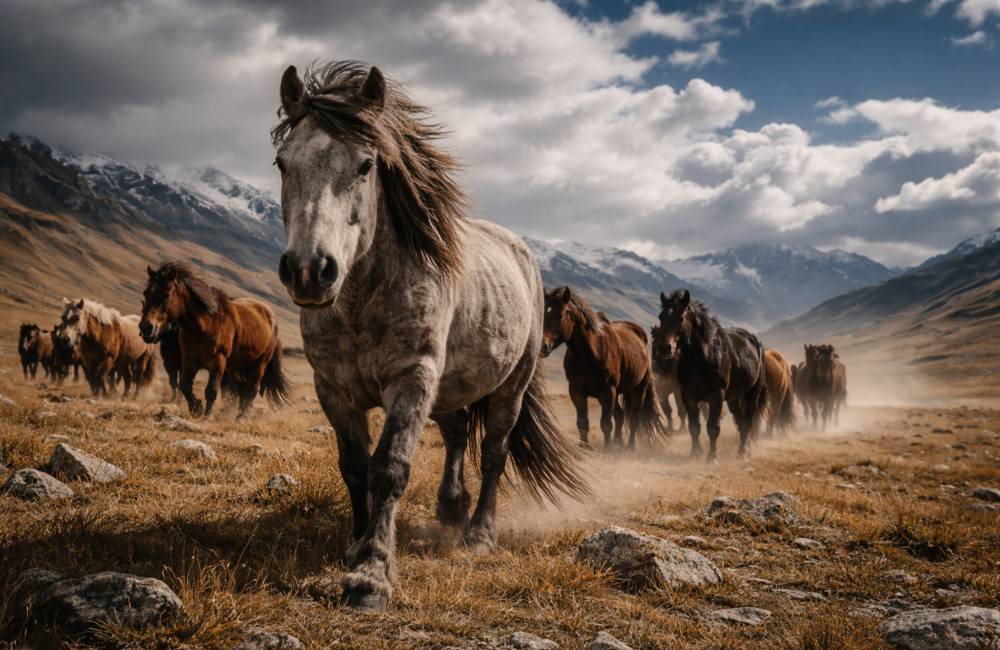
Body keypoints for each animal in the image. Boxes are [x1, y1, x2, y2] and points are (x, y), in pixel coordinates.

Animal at [138, 262, 291, 418]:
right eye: (146, 293)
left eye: (166, 294)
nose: (146, 328)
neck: (206, 324)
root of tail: (270, 316)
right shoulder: (188, 361)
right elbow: (185, 386)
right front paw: (196, 408)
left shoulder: (218, 363)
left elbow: (211, 391)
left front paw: (206, 416)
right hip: (237, 367)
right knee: (242, 389)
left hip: (259, 364)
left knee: (251, 390)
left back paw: (240, 418)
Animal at [272, 60, 588, 612]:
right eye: (282, 164)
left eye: (366, 165)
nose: (310, 271)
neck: (362, 301)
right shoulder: (332, 388)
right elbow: (353, 467)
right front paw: (356, 545)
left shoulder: (412, 378)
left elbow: (389, 469)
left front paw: (371, 576)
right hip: (450, 387)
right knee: (458, 432)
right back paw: (451, 507)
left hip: (509, 386)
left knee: (494, 452)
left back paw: (479, 532)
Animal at [540, 286, 666, 449]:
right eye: (542, 312)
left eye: (560, 315)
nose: (543, 346)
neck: (590, 355)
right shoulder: (576, 391)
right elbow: (582, 422)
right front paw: (585, 447)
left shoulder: (607, 392)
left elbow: (606, 423)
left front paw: (607, 449)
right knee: (620, 416)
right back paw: (618, 444)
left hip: (638, 389)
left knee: (633, 417)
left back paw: (630, 446)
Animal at [654, 290, 768, 462]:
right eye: (661, 317)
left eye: (681, 318)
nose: (665, 348)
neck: (702, 357)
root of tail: (754, 341)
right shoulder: (688, 396)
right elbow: (694, 427)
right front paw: (696, 453)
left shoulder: (716, 396)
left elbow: (713, 427)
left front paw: (712, 457)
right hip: (734, 398)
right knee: (741, 422)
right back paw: (744, 450)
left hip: (752, 393)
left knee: (748, 421)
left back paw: (743, 452)